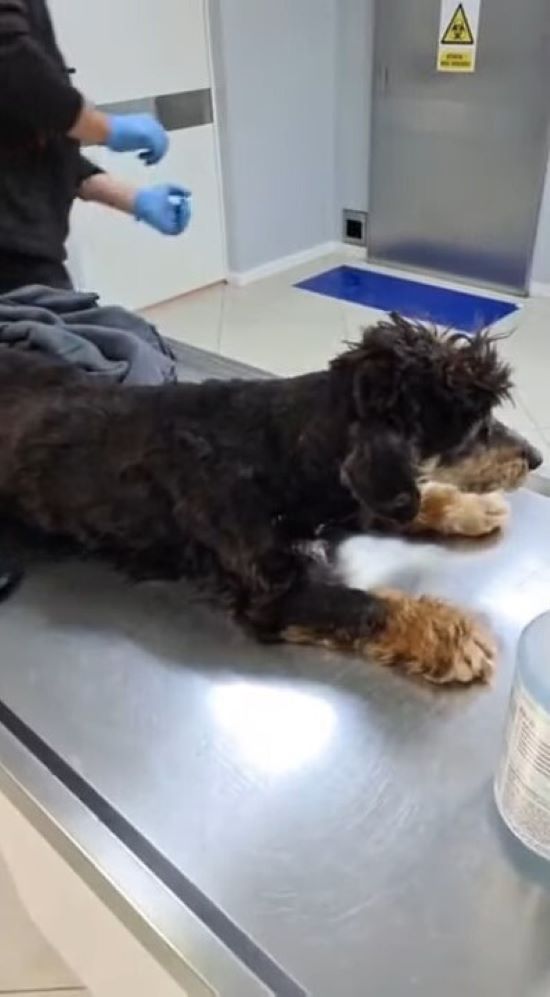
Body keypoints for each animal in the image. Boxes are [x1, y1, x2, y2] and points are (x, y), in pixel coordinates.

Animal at [0, 314, 544, 684]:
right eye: (475, 427)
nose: (535, 458)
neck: (281, 446)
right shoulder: (277, 593)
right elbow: (362, 603)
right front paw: (447, 634)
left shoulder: (346, 500)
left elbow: (401, 503)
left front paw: (466, 507)